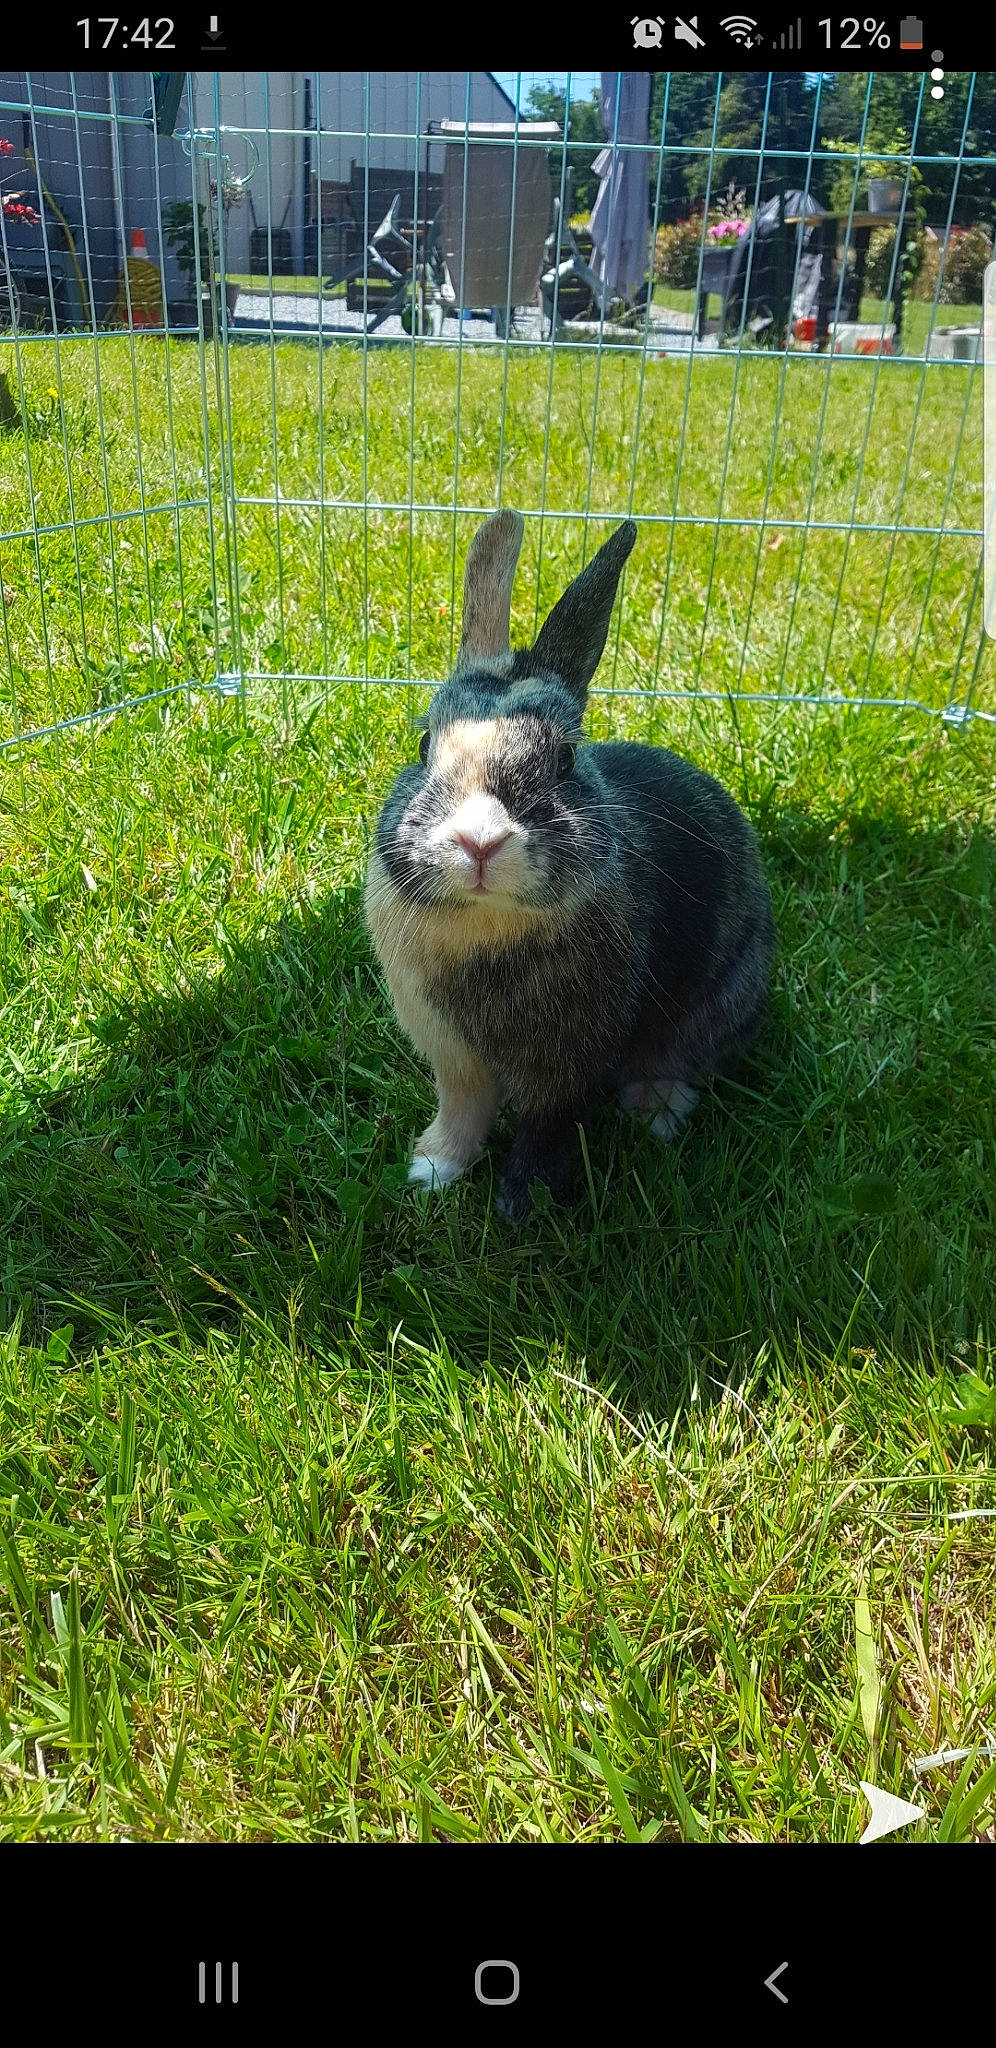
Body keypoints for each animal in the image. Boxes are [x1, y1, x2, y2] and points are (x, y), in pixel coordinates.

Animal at [364, 510, 776, 1219]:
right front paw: (433, 1171)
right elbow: (463, 1111)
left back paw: (656, 1112)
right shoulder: (453, 1057)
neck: (488, 924)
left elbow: (548, 1126)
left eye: (563, 759)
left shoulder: (567, 1064)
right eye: (422, 746)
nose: (479, 842)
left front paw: (523, 1206)